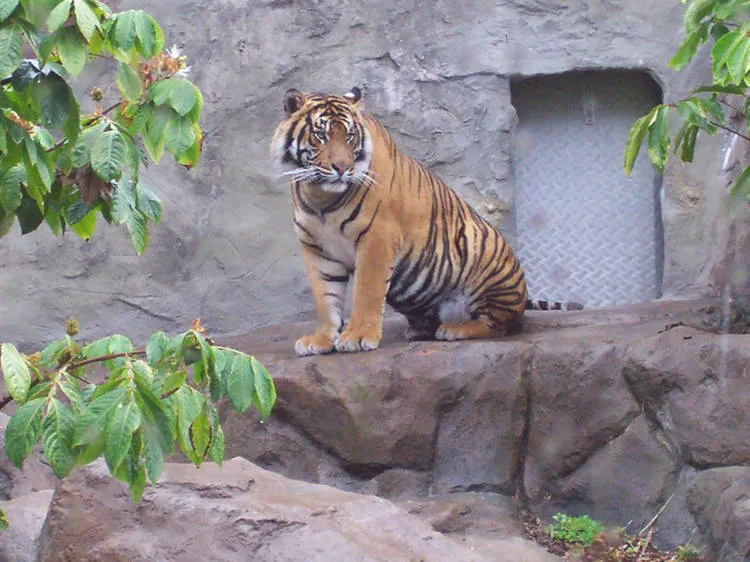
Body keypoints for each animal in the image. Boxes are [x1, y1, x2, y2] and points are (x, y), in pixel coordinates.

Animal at [271, 87, 581, 357]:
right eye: (320, 135)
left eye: (349, 137)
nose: (342, 168)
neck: (321, 196)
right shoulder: (317, 248)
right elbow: (325, 298)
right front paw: (321, 340)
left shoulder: (377, 238)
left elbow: (366, 292)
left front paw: (358, 337)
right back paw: (420, 331)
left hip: (484, 258)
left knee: (498, 324)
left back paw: (455, 329)